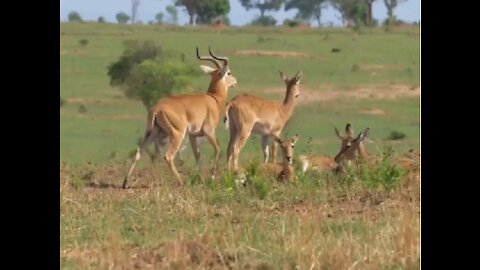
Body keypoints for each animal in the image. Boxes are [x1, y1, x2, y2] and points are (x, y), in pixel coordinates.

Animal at [123, 46, 237, 189]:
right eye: (228, 73)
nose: (235, 82)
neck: (214, 99)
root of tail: (156, 109)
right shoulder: (209, 131)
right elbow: (218, 149)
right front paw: (211, 178)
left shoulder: (193, 136)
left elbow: (197, 156)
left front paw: (199, 179)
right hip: (177, 134)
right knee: (168, 156)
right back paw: (181, 182)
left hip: (152, 133)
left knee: (138, 152)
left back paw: (125, 183)